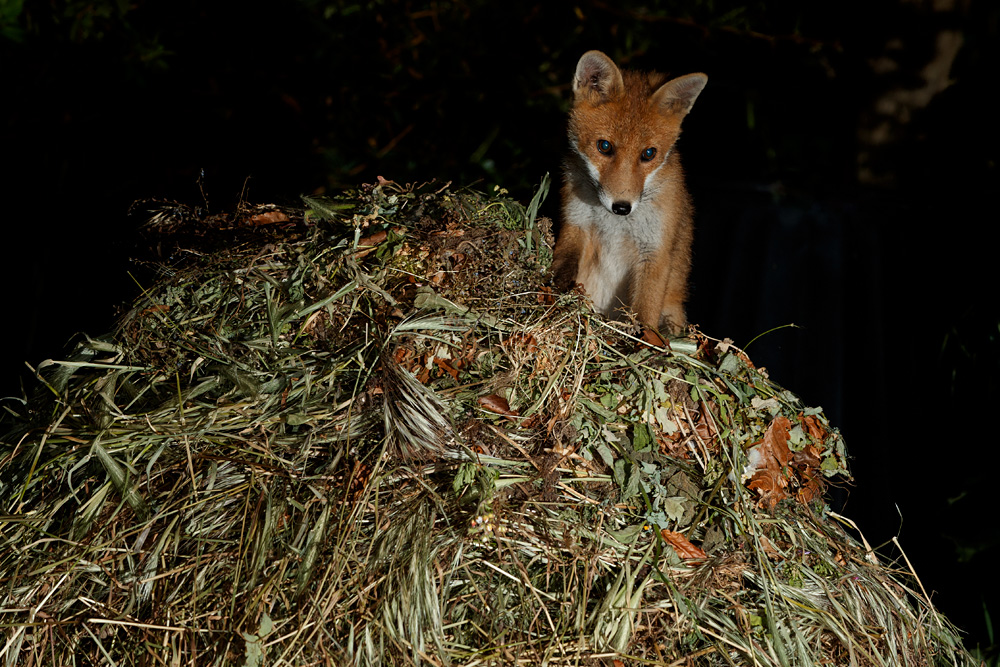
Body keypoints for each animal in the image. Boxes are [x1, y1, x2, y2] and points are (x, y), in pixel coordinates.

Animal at [551, 50, 707, 334]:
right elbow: (564, 266)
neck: (615, 225)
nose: (622, 207)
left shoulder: (654, 250)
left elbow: (644, 313)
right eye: (604, 146)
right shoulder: (576, 223)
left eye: (649, 154)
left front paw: (639, 340)